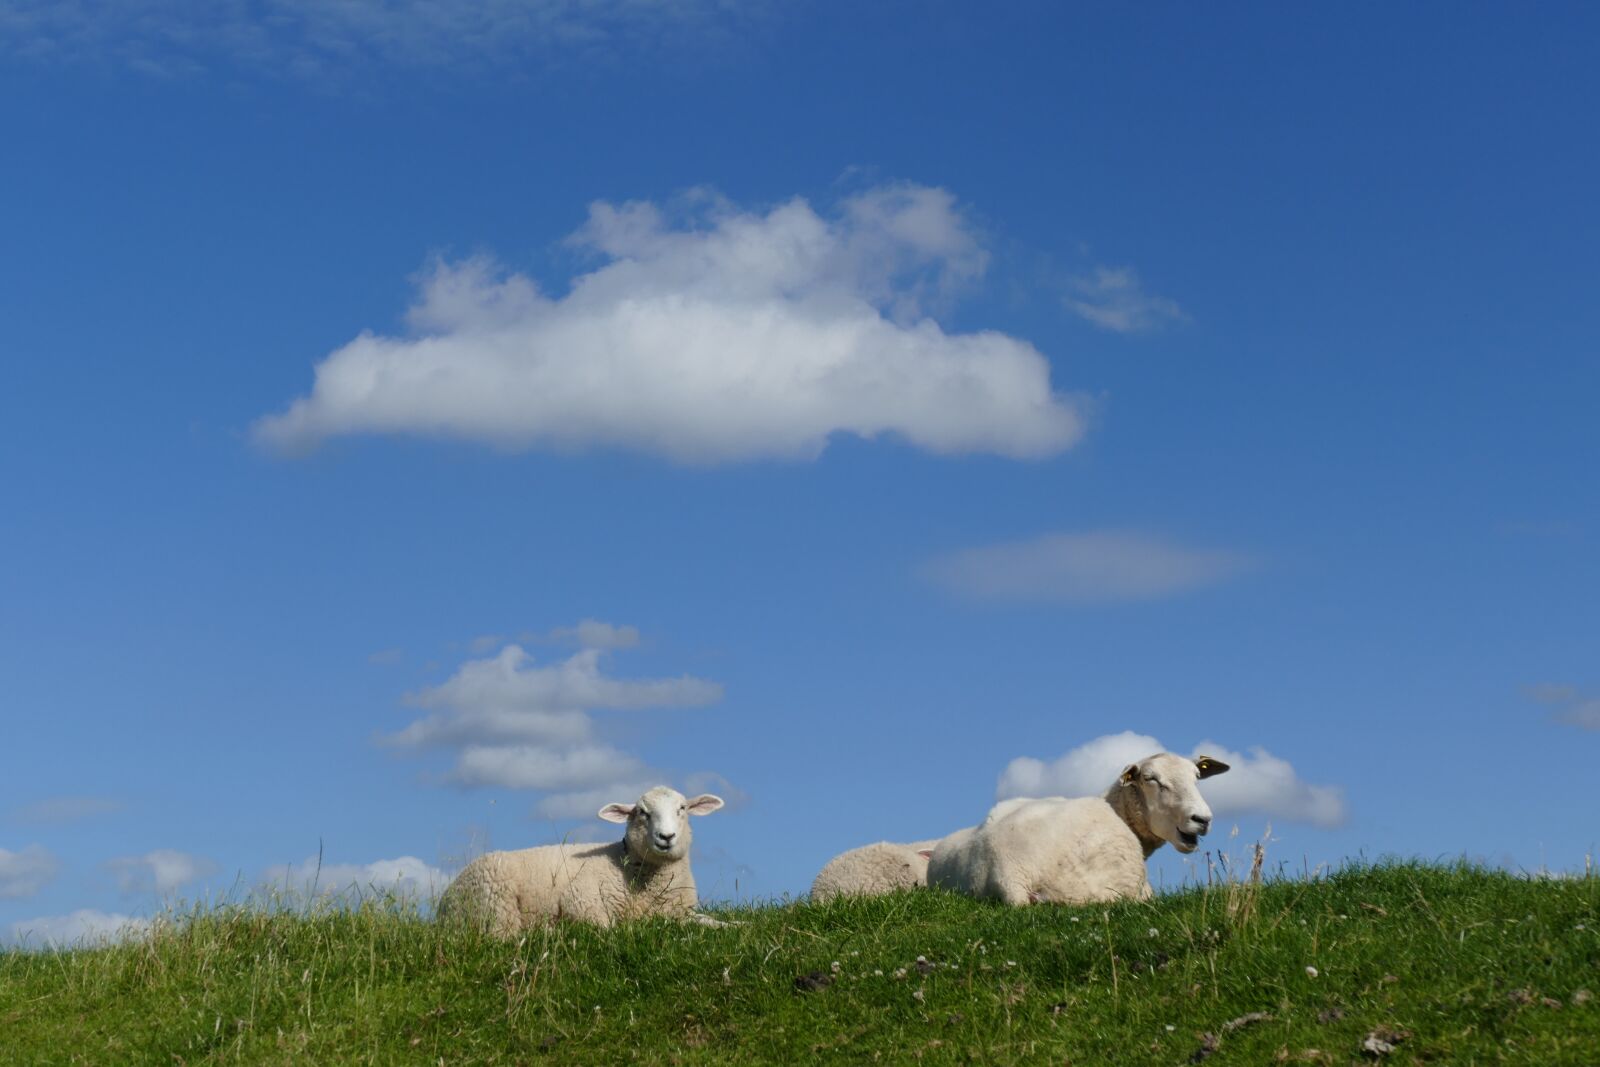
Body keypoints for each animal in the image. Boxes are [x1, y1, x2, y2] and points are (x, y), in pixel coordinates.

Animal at [437, 787, 725, 933]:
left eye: (682, 809)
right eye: (642, 812)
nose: (666, 837)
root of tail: (444, 901)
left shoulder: (680, 912)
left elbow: (710, 922)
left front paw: (729, 925)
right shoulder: (580, 900)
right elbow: (612, 928)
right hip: (495, 904)